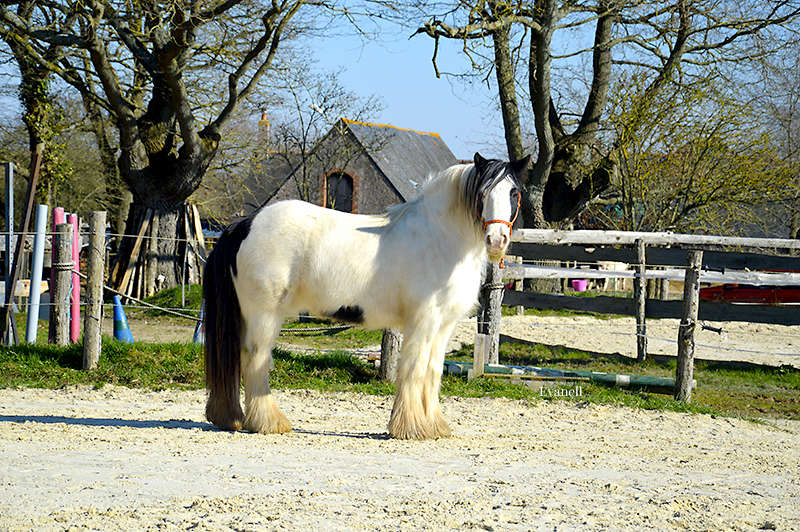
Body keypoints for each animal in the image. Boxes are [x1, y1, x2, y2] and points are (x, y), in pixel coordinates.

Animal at [205, 153, 532, 440]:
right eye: (483, 192)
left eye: (514, 192)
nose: (497, 240)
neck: (440, 238)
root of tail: (245, 224)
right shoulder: (423, 320)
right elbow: (413, 370)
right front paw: (411, 428)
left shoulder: (443, 325)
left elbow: (432, 372)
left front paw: (434, 426)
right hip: (264, 315)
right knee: (255, 360)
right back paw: (268, 423)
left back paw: (234, 418)